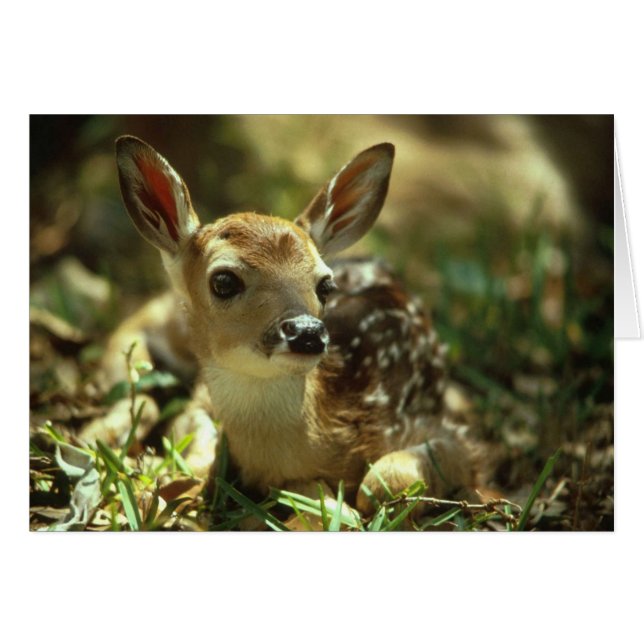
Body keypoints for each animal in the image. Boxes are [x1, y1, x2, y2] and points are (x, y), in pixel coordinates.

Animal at [110, 135, 478, 518]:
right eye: (223, 281)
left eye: (326, 285)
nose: (307, 332)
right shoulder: (200, 402)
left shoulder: (449, 432)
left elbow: (380, 482)